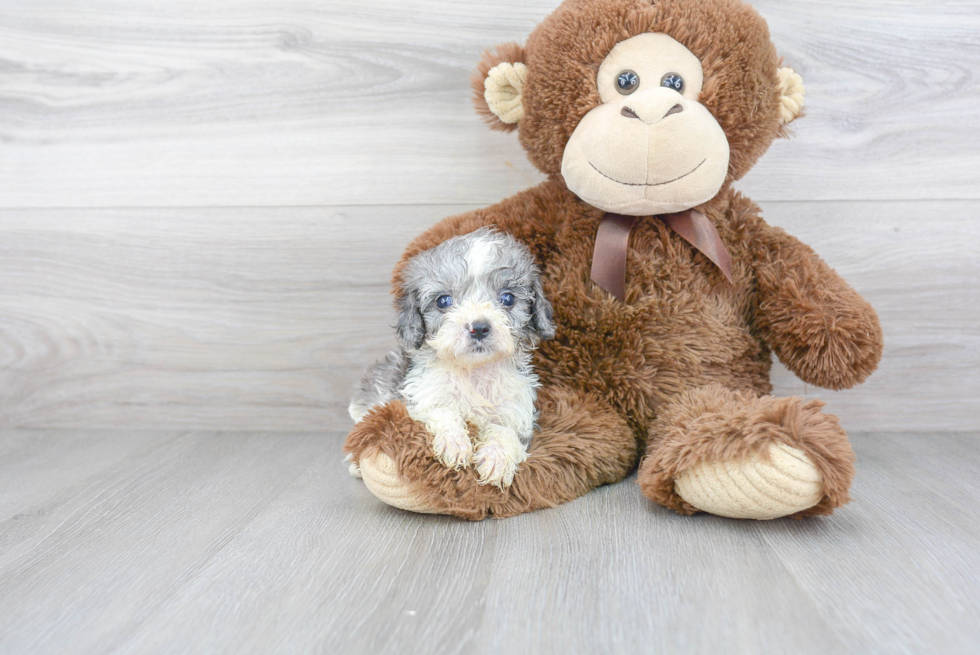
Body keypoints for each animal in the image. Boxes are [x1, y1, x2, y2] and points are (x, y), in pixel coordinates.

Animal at [348, 228, 556, 490]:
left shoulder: (517, 410)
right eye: (443, 301)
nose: (479, 328)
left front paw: (497, 459)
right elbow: (442, 411)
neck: (473, 371)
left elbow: (505, 431)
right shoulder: (420, 396)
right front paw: (455, 443)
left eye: (508, 299)